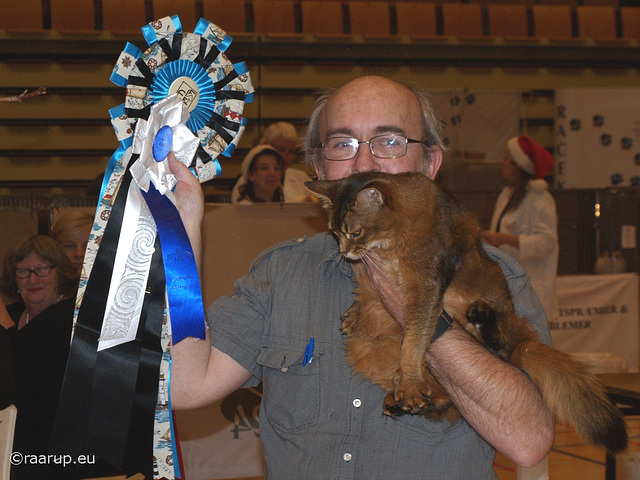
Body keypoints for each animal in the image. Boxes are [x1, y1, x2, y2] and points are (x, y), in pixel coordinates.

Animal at [308, 172, 628, 454]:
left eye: (355, 232)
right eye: (334, 233)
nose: (344, 252)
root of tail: (522, 341)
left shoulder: (424, 288)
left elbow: (414, 341)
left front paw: (409, 382)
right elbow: (369, 301)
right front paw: (355, 314)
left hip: (496, 316)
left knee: (498, 348)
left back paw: (481, 319)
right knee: (446, 400)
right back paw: (401, 402)